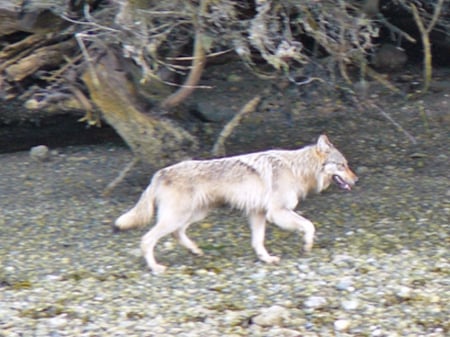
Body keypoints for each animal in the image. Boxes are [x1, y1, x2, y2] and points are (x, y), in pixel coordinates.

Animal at [116, 134, 358, 272]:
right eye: (343, 165)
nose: (356, 180)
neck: (297, 169)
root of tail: (159, 173)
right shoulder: (277, 212)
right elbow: (309, 225)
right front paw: (307, 246)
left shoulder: (258, 213)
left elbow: (258, 242)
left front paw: (266, 259)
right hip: (178, 217)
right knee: (147, 240)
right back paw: (156, 267)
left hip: (194, 215)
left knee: (177, 234)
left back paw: (195, 251)